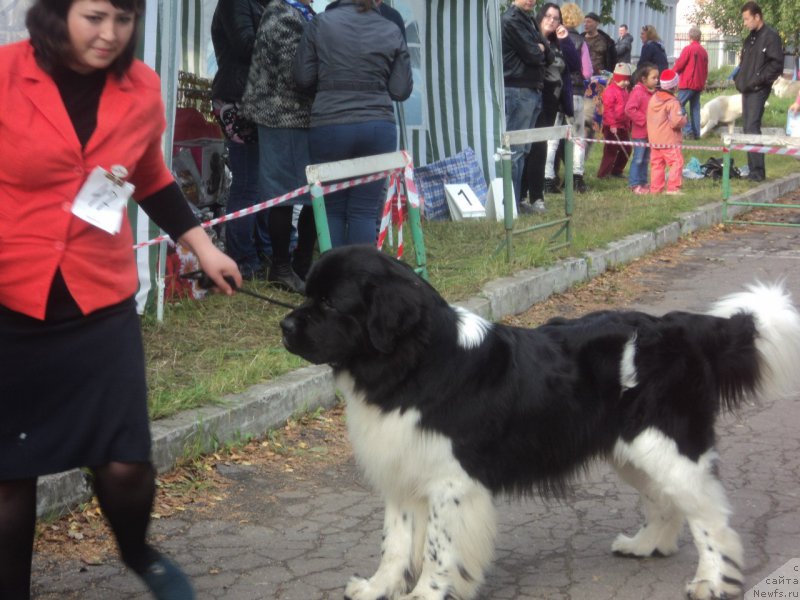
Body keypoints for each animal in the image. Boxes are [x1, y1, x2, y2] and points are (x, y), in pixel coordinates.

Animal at [280, 245, 800, 600]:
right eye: (306, 295)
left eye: (329, 305)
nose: (284, 326)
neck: (415, 362)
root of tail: (679, 327)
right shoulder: (403, 471)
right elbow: (396, 541)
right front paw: (377, 588)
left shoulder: (452, 482)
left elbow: (438, 550)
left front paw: (427, 594)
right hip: (632, 450)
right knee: (667, 501)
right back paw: (646, 545)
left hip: (667, 444)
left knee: (710, 516)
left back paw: (710, 580)